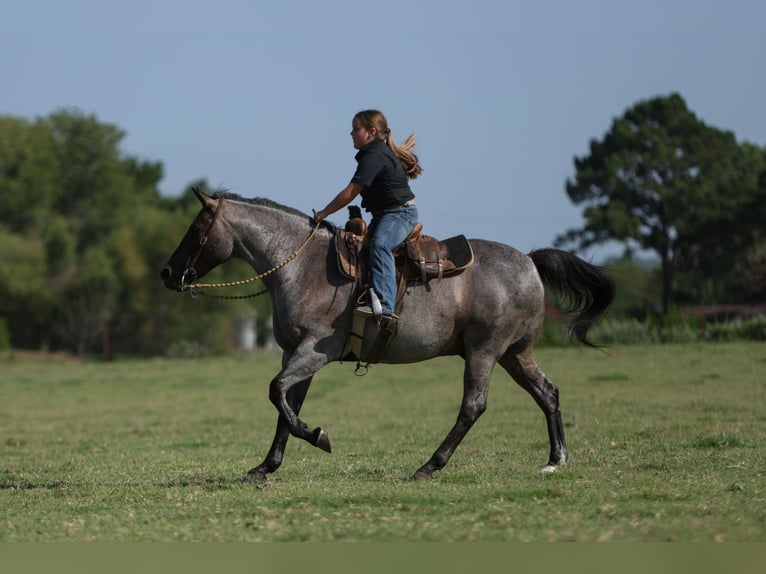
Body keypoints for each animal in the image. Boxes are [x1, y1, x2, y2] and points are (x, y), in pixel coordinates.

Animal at [159, 189, 616, 482]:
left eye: (197, 229)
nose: (167, 273)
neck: (302, 267)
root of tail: (530, 262)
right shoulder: (295, 355)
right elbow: (285, 406)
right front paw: (265, 467)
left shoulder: (315, 352)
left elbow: (276, 394)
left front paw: (319, 437)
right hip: (514, 354)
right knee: (547, 393)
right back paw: (556, 460)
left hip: (484, 351)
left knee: (473, 406)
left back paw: (429, 467)